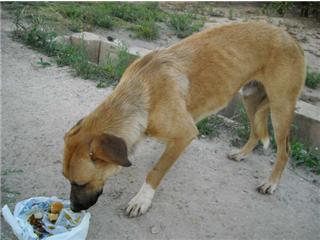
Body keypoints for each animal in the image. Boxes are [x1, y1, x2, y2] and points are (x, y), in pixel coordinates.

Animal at [62, 21, 304, 218]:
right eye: (66, 179)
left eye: (80, 183)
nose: (73, 208)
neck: (140, 95)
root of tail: (291, 37)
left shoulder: (187, 132)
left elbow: (156, 171)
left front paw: (142, 200)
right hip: (250, 97)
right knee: (255, 131)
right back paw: (241, 154)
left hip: (280, 107)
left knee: (284, 150)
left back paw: (270, 183)